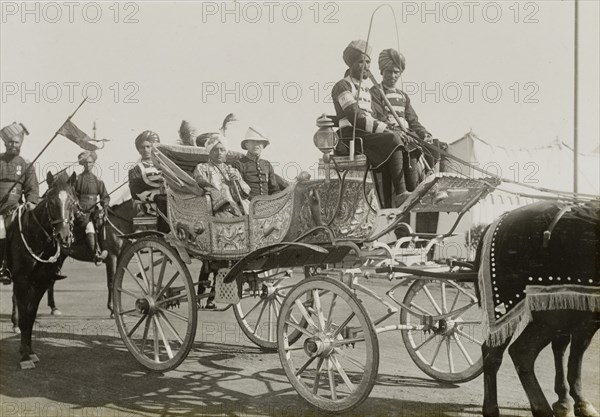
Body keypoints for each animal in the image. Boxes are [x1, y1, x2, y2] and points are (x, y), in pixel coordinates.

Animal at [8, 171, 79, 368]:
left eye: (73, 202)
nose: (64, 236)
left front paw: (29, 351)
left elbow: (31, 317)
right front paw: (25, 357)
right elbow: (25, 318)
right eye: (51, 202)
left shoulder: (40, 282)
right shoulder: (22, 280)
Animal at [474, 200, 600, 416]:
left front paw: (573, 402)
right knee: (523, 351)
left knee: (492, 352)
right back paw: (542, 408)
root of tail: (501, 219)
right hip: (554, 314)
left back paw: (491, 408)